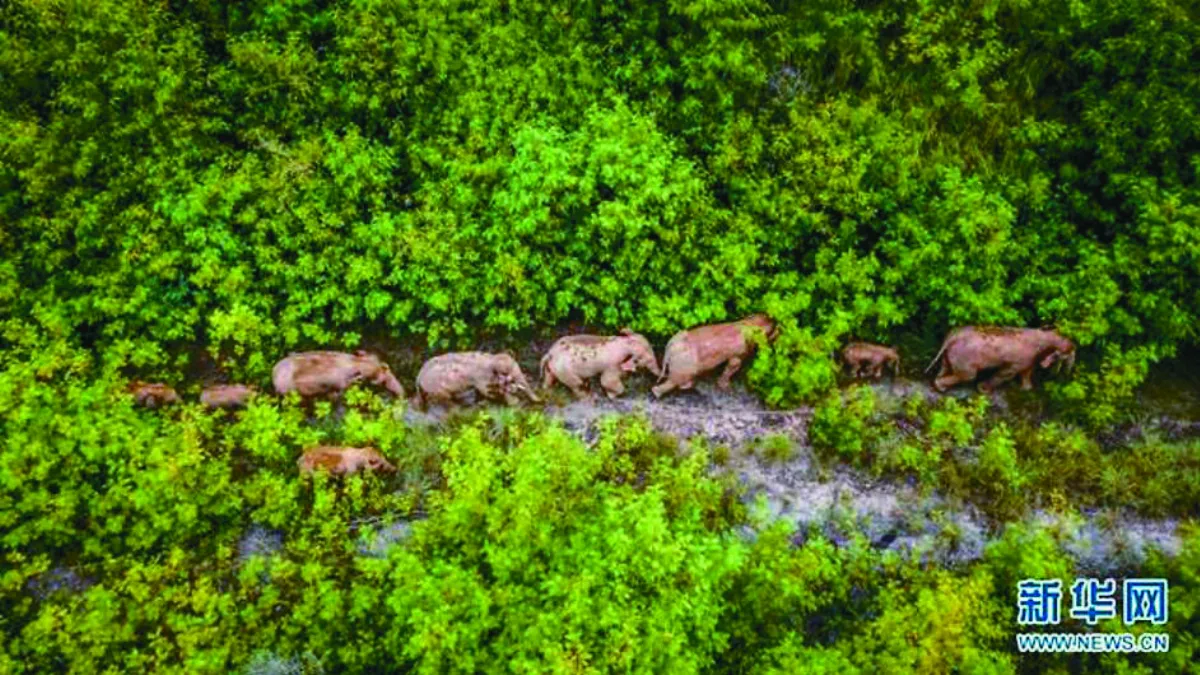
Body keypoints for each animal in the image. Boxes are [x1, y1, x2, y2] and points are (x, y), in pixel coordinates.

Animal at [925, 326, 1076, 393]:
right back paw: (941, 388)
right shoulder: (1021, 358)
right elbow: (1007, 373)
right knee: (968, 376)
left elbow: (1026, 372)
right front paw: (982, 389)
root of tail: (952, 337)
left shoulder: (1030, 358)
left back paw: (939, 383)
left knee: (945, 366)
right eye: (1068, 355)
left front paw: (1026, 388)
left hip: (952, 354)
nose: (1067, 375)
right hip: (964, 356)